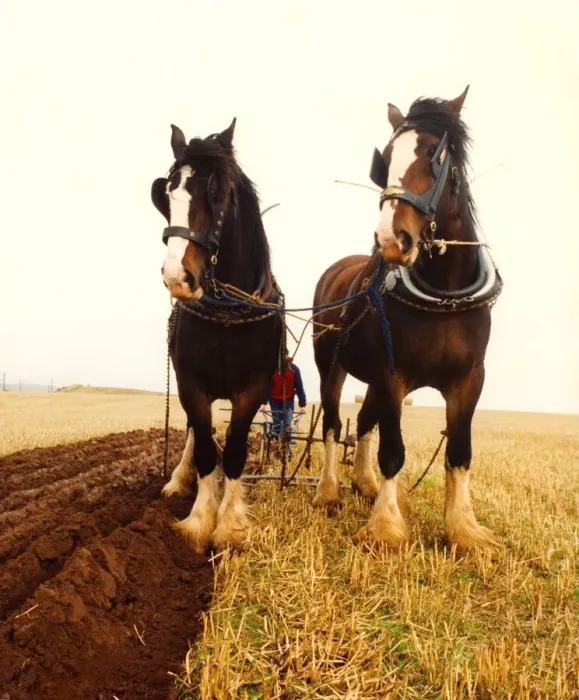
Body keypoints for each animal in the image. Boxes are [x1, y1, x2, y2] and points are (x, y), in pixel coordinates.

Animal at [151, 118, 283, 553]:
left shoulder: (254, 388)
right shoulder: (191, 384)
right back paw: (179, 479)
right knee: (196, 433)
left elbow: (236, 449)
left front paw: (230, 525)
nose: (177, 277)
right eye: (167, 193)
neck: (227, 314)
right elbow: (208, 448)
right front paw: (198, 521)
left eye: (218, 193)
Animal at [311, 87, 503, 551]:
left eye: (435, 153)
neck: (444, 294)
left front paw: (464, 529)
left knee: (363, 422)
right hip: (332, 365)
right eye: (385, 161)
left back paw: (363, 484)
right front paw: (386, 527)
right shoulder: (392, 375)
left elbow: (459, 453)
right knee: (331, 424)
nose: (390, 239)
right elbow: (393, 450)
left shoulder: (469, 379)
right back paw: (328, 491)